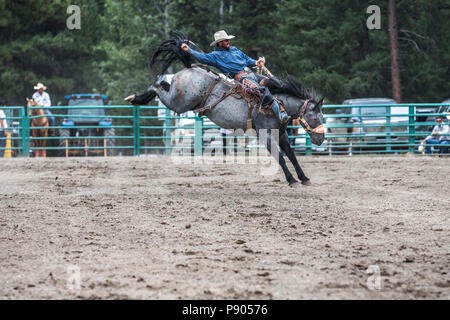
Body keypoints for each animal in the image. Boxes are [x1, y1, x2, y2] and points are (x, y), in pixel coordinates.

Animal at [125, 31, 326, 186]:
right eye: (315, 117)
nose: (321, 139)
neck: (278, 105)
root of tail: (191, 67)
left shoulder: (282, 133)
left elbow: (291, 155)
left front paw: (304, 178)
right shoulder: (265, 134)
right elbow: (280, 157)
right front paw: (292, 180)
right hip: (179, 102)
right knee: (158, 85)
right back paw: (136, 97)